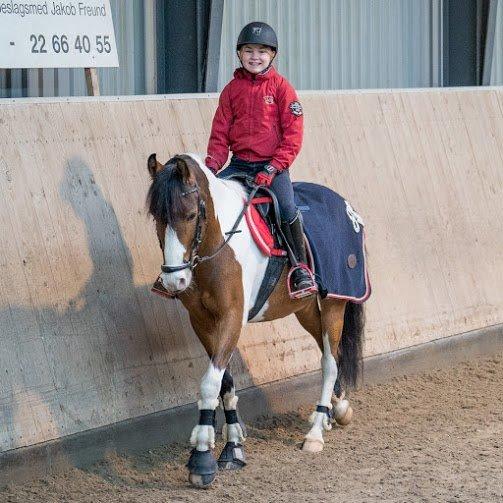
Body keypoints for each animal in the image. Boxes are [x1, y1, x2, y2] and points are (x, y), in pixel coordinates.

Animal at [148, 153, 364, 488]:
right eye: (157, 217)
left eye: (190, 214)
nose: (175, 281)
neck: (218, 245)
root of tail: (345, 205)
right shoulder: (202, 321)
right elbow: (224, 381)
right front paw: (232, 447)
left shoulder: (232, 317)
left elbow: (209, 384)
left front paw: (202, 458)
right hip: (305, 310)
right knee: (333, 352)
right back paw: (338, 409)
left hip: (333, 303)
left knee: (329, 362)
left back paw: (315, 433)